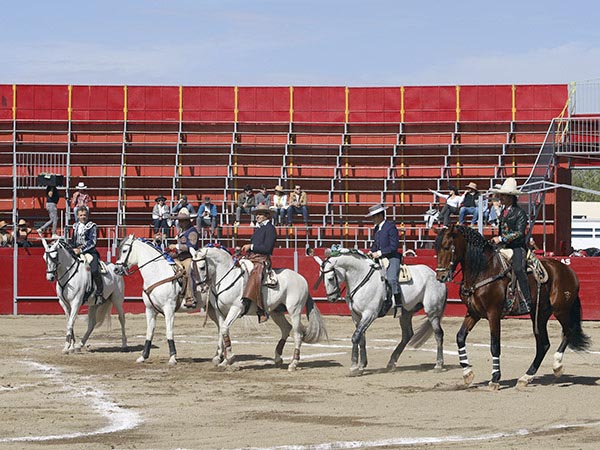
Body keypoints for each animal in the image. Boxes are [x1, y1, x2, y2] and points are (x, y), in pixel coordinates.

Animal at [115, 236, 195, 366]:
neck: (158, 273)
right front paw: (143, 356)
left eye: (124, 250)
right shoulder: (150, 309)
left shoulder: (169, 309)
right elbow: (149, 332)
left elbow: (169, 331)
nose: (116, 269)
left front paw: (172, 357)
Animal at [191, 244, 328, 370]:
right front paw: (222, 360)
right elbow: (222, 331)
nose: (200, 287)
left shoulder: (236, 309)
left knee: (298, 334)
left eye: (202, 267)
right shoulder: (220, 312)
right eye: (192, 268)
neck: (227, 278)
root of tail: (302, 279)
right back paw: (278, 358)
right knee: (286, 328)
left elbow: (224, 328)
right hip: (276, 312)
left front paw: (230, 357)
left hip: (295, 310)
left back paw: (293, 363)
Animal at [316, 250, 448, 376]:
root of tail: (436, 275)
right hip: (406, 313)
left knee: (438, 334)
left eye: (330, 278)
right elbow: (361, 338)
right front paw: (361, 366)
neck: (361, 278)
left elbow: (356, 337)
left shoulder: (369, 314)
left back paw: (438, 365)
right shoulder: (356, 316)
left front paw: (354, 367)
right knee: (407, 335)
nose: (332, 298)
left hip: (432, 311)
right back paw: (391, 363)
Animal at [434, 227, 588, 388]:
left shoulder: (493, 314)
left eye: (447, 247)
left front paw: (495, 378)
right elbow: (460, 337)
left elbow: (495, 345)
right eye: (436, 248)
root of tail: (569, 271)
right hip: (539, 315)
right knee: (543, 344)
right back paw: (526, 377)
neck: (483, 270)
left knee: (568, 332)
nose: (441, 277)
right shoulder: (473, 313)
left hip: (560, 310)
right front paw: (467, 373)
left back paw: (557, 365)